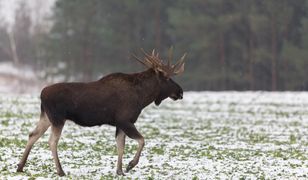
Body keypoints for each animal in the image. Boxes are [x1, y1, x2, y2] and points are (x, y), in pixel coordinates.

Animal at [17, 48, 188, 176]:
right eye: (167, 78)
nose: (180, 92)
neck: (142, 97)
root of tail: (41, 94)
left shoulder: (120, 124)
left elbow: (120, 145)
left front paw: (119, 171)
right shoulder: (125, 120)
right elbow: (142, 140)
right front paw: (130, 165)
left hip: (46, 117)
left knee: (33, 134)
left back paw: (20, 166)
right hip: (58, 118)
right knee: (52, 141)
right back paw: (60, 171)